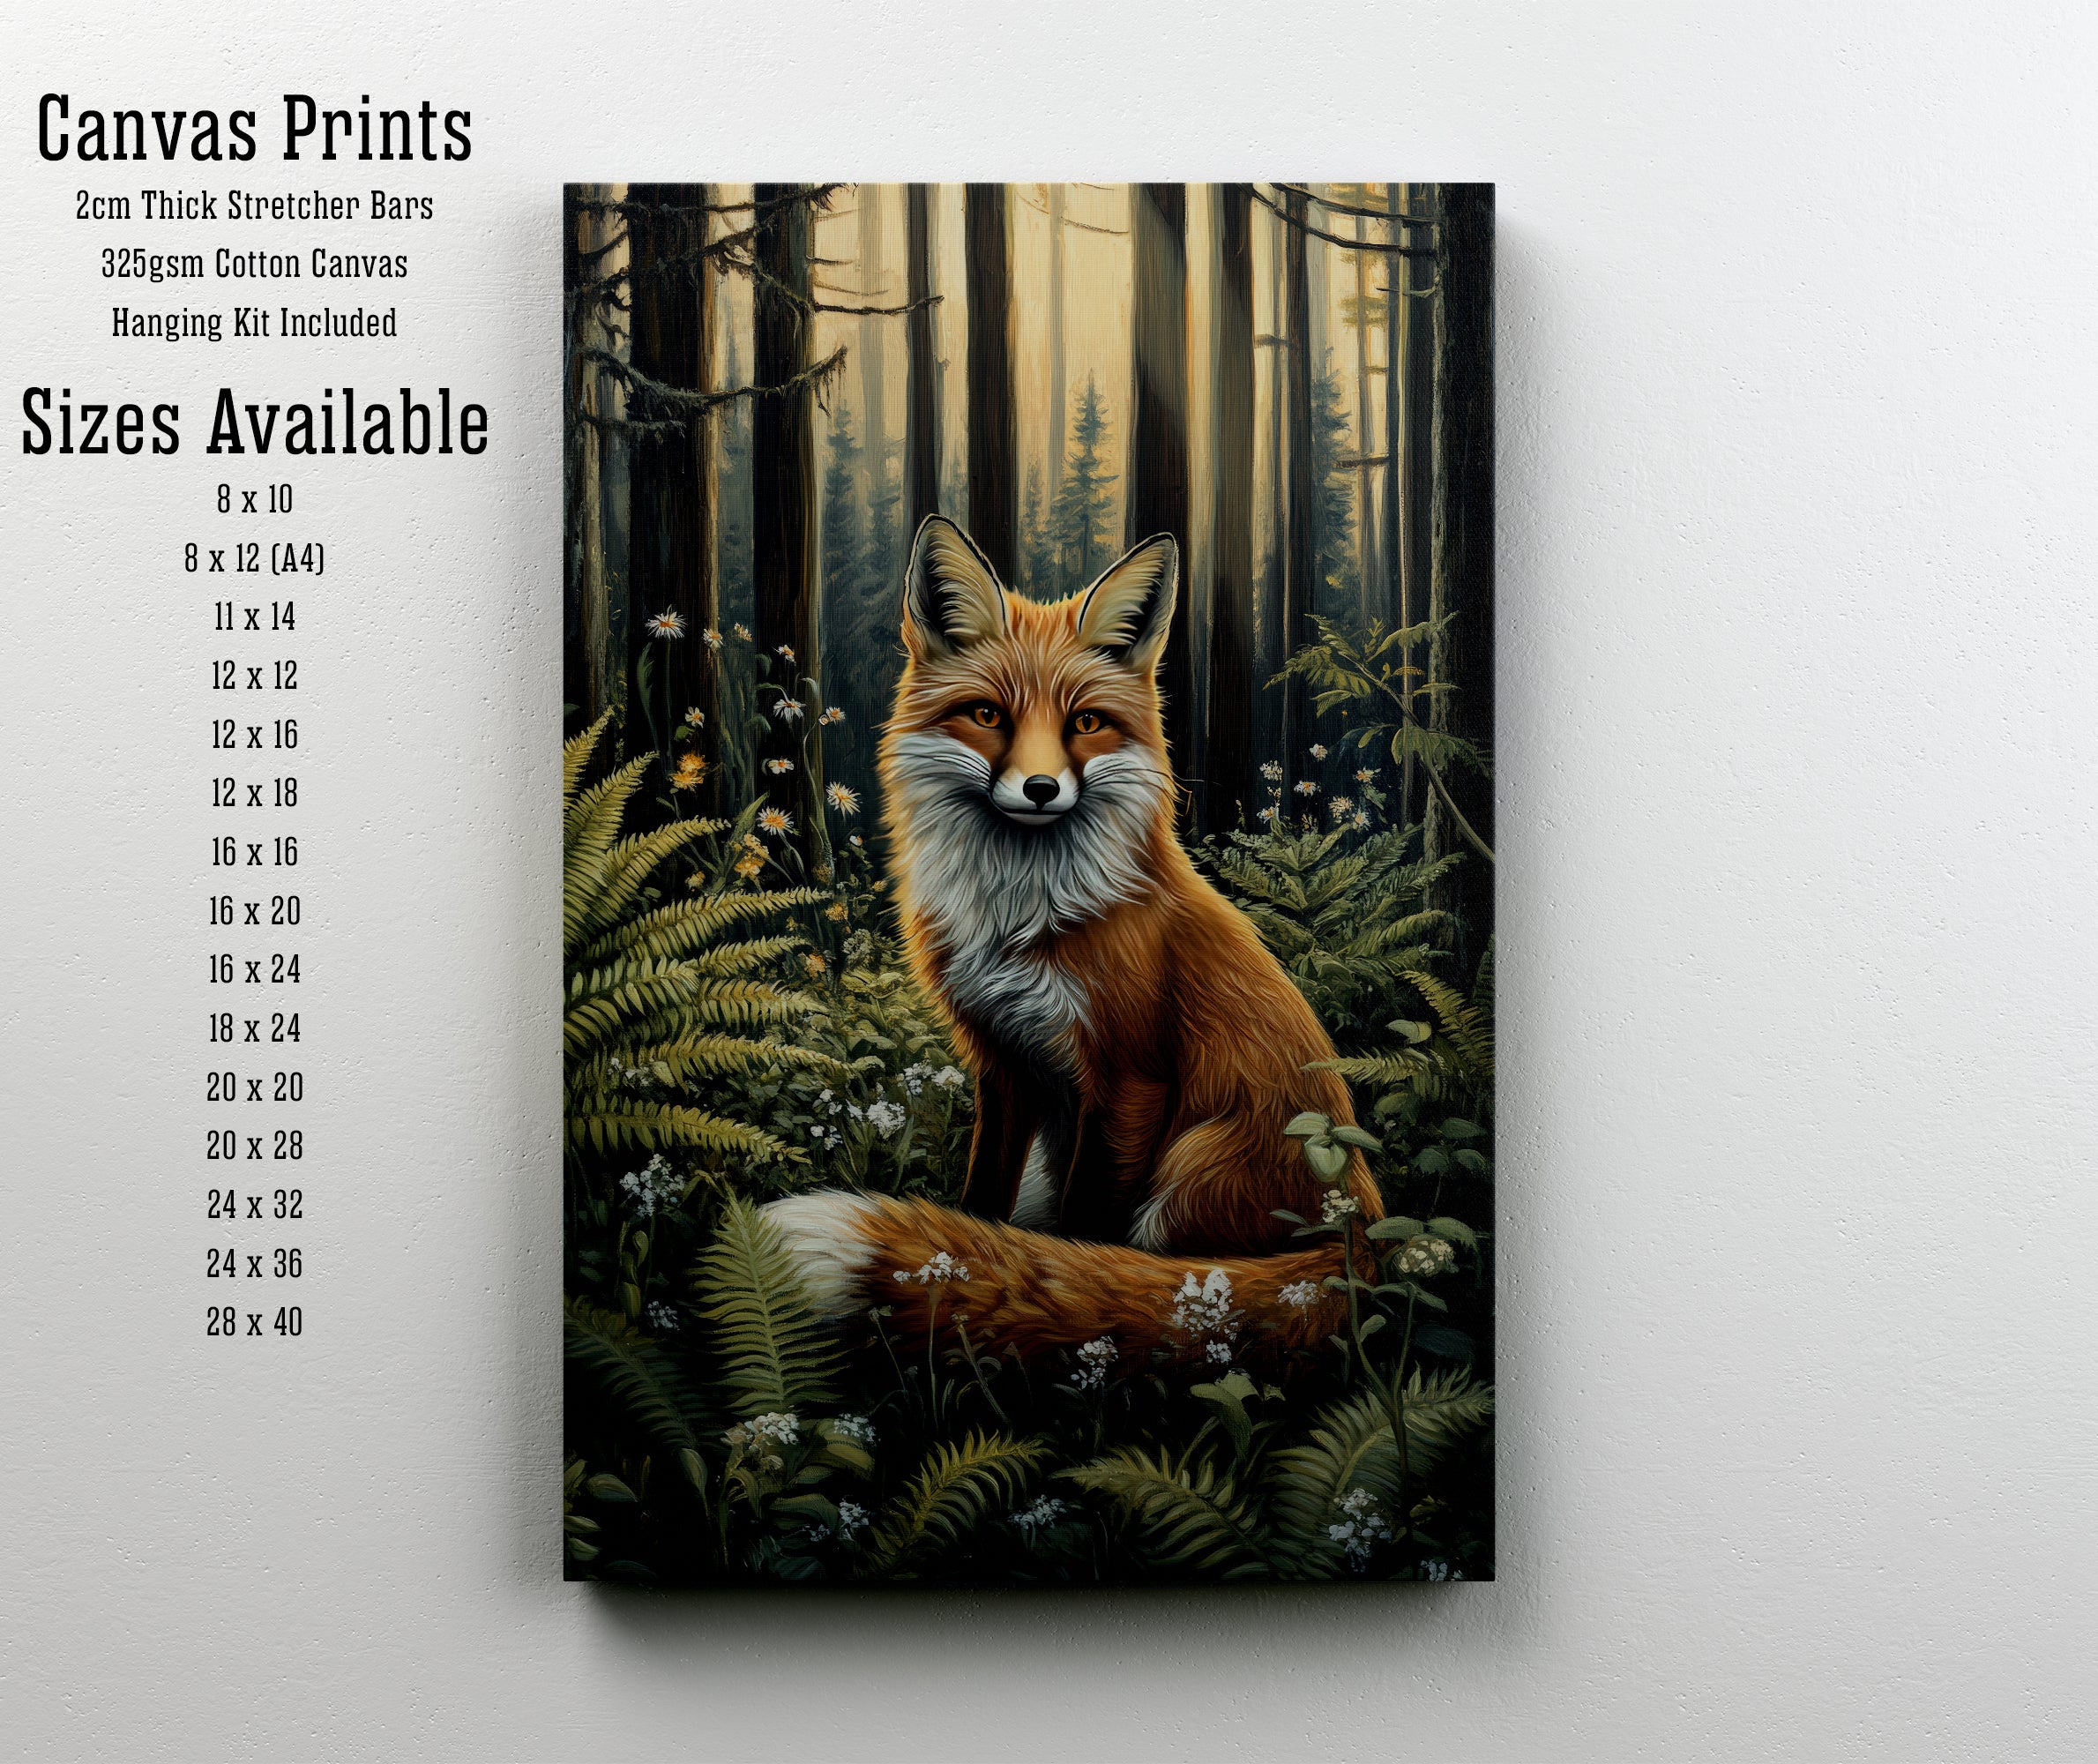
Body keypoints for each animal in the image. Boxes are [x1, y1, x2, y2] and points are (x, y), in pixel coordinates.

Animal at [764, 515, 1382, 1366]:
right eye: (988, 715)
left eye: (1085, 723)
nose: (1039, 789)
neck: (1023, 917)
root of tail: (1364, 1236)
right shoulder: (1002, 1061)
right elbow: (979, 1201)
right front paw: (961, 1265)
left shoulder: (1128, 1078)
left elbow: (1089, 1236)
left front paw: (1077, 1311)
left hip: (1190, 1168)